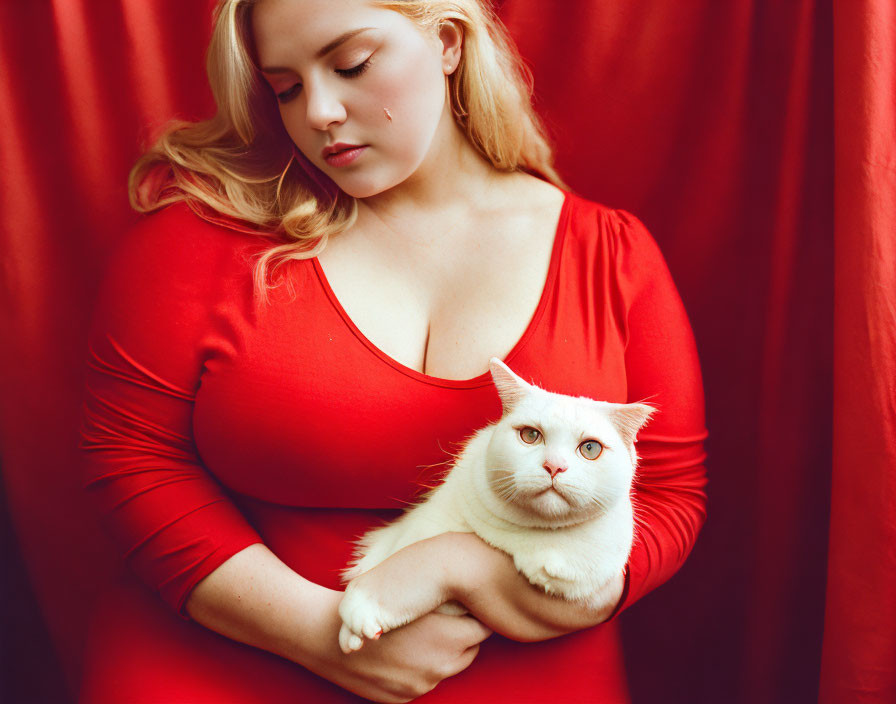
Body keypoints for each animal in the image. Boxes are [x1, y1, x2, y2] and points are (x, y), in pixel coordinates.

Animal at [336, 358, 656, 656]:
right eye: (530, 435)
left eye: (590, 448)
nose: (554, 466)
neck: (522, 534)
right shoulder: (422, 526)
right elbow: (405, 560)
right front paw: (354, 625)